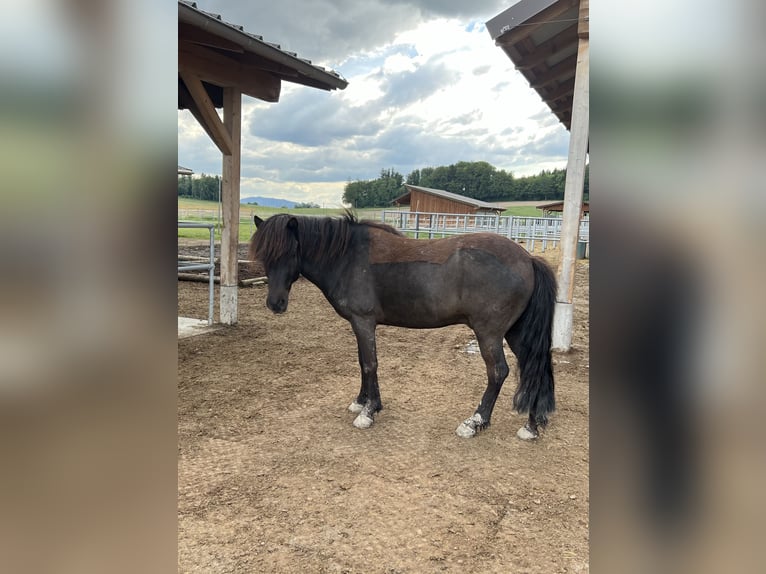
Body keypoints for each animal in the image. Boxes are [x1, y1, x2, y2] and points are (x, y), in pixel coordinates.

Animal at [252, 213, 560, 440]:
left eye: (290, 251)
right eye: (264, 256)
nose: (275, 303)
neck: (347, 257)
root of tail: (528, 259)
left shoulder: (364, 321)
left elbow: (370, 364)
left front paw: (368, 412)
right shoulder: (359, 325)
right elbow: (362, 362)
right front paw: (361, 401)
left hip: (489, 334)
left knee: (498, 372)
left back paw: (475, 422)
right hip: (515, 333)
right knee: (533, 368)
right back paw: (531, 426)